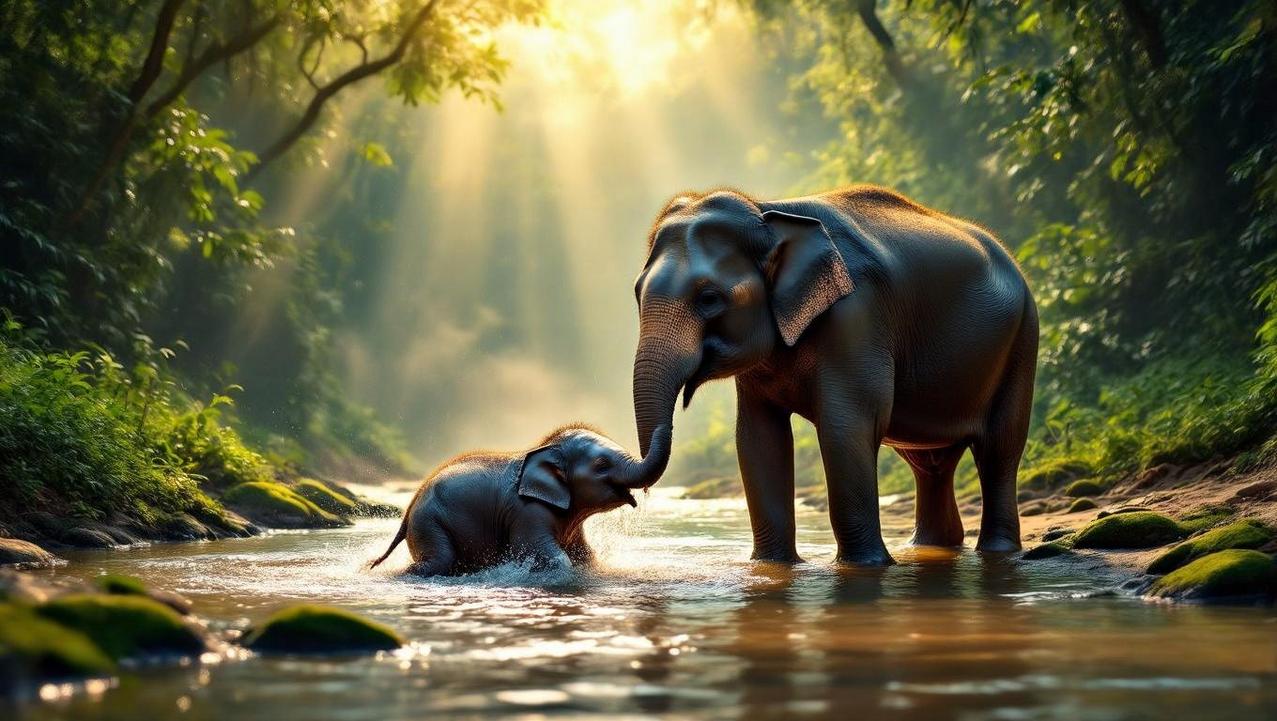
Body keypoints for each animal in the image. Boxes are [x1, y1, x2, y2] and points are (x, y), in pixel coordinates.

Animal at [369, 424, 671, 576]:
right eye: (601, 465)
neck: (543, 447)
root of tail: (409, 509)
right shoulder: (527, 513)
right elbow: (555, 559)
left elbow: (587, 557)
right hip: (429, 524)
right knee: (438, 561)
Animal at [630, 185, 1038, 565]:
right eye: (636, 293)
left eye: (709, 298)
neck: (768, 211)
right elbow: (758, 438)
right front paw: (772, 565)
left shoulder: (858, 315)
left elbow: (846, 427)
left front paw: (866, 566)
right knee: (930, 463)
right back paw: (931, 547)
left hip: (1023, 338)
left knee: (999, 448)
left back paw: (997, 551)